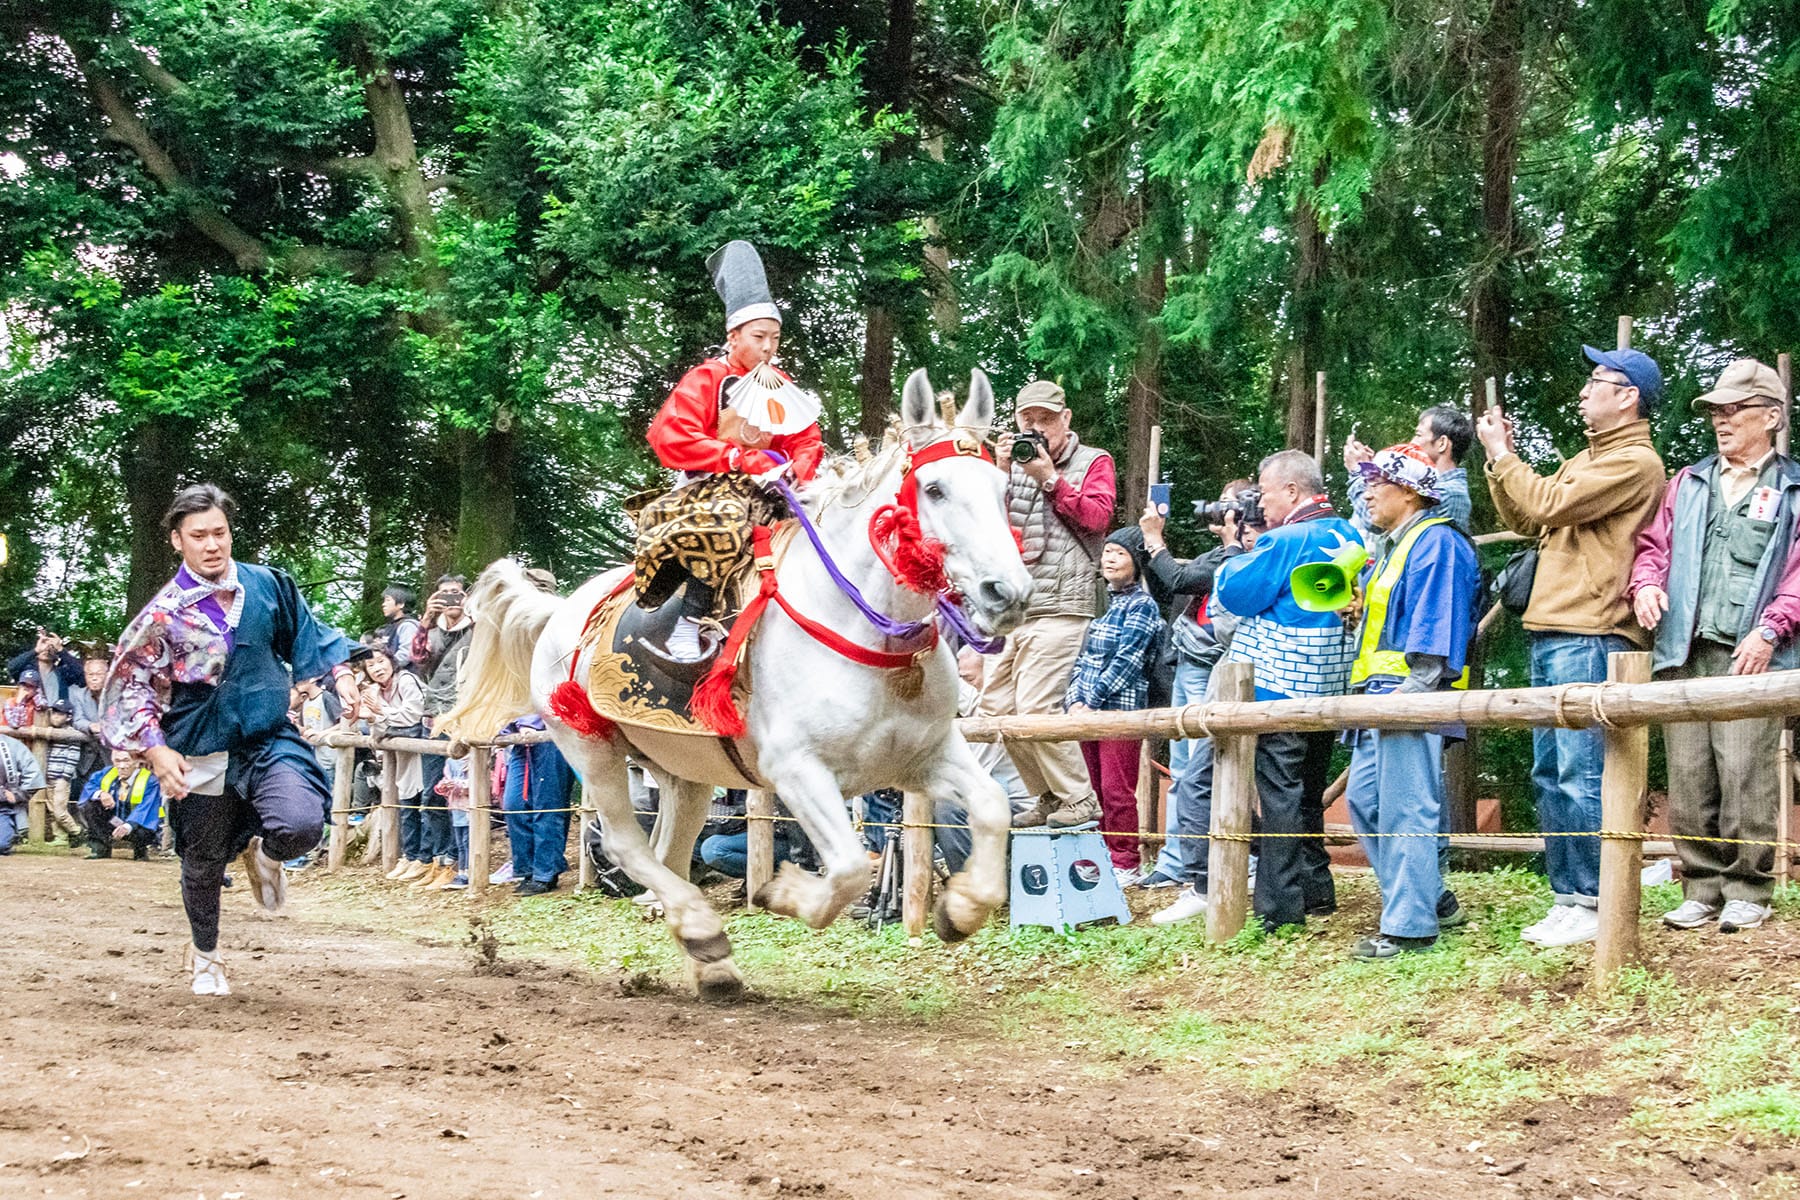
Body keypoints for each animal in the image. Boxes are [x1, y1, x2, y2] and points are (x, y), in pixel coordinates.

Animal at [444, 370, 1036, 1000]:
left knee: (668, 851)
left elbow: (993, 807)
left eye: (1003, 488)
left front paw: (961, 908)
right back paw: (705, 934)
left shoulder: (925, 756)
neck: (873, 641)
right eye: (934, 489)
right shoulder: (796, 769)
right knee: (628, 844)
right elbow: (851, 868)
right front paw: (785, 892)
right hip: (589, 745)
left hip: (681, 769)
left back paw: (704, 953)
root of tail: (561, 610)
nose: (1008, 593)